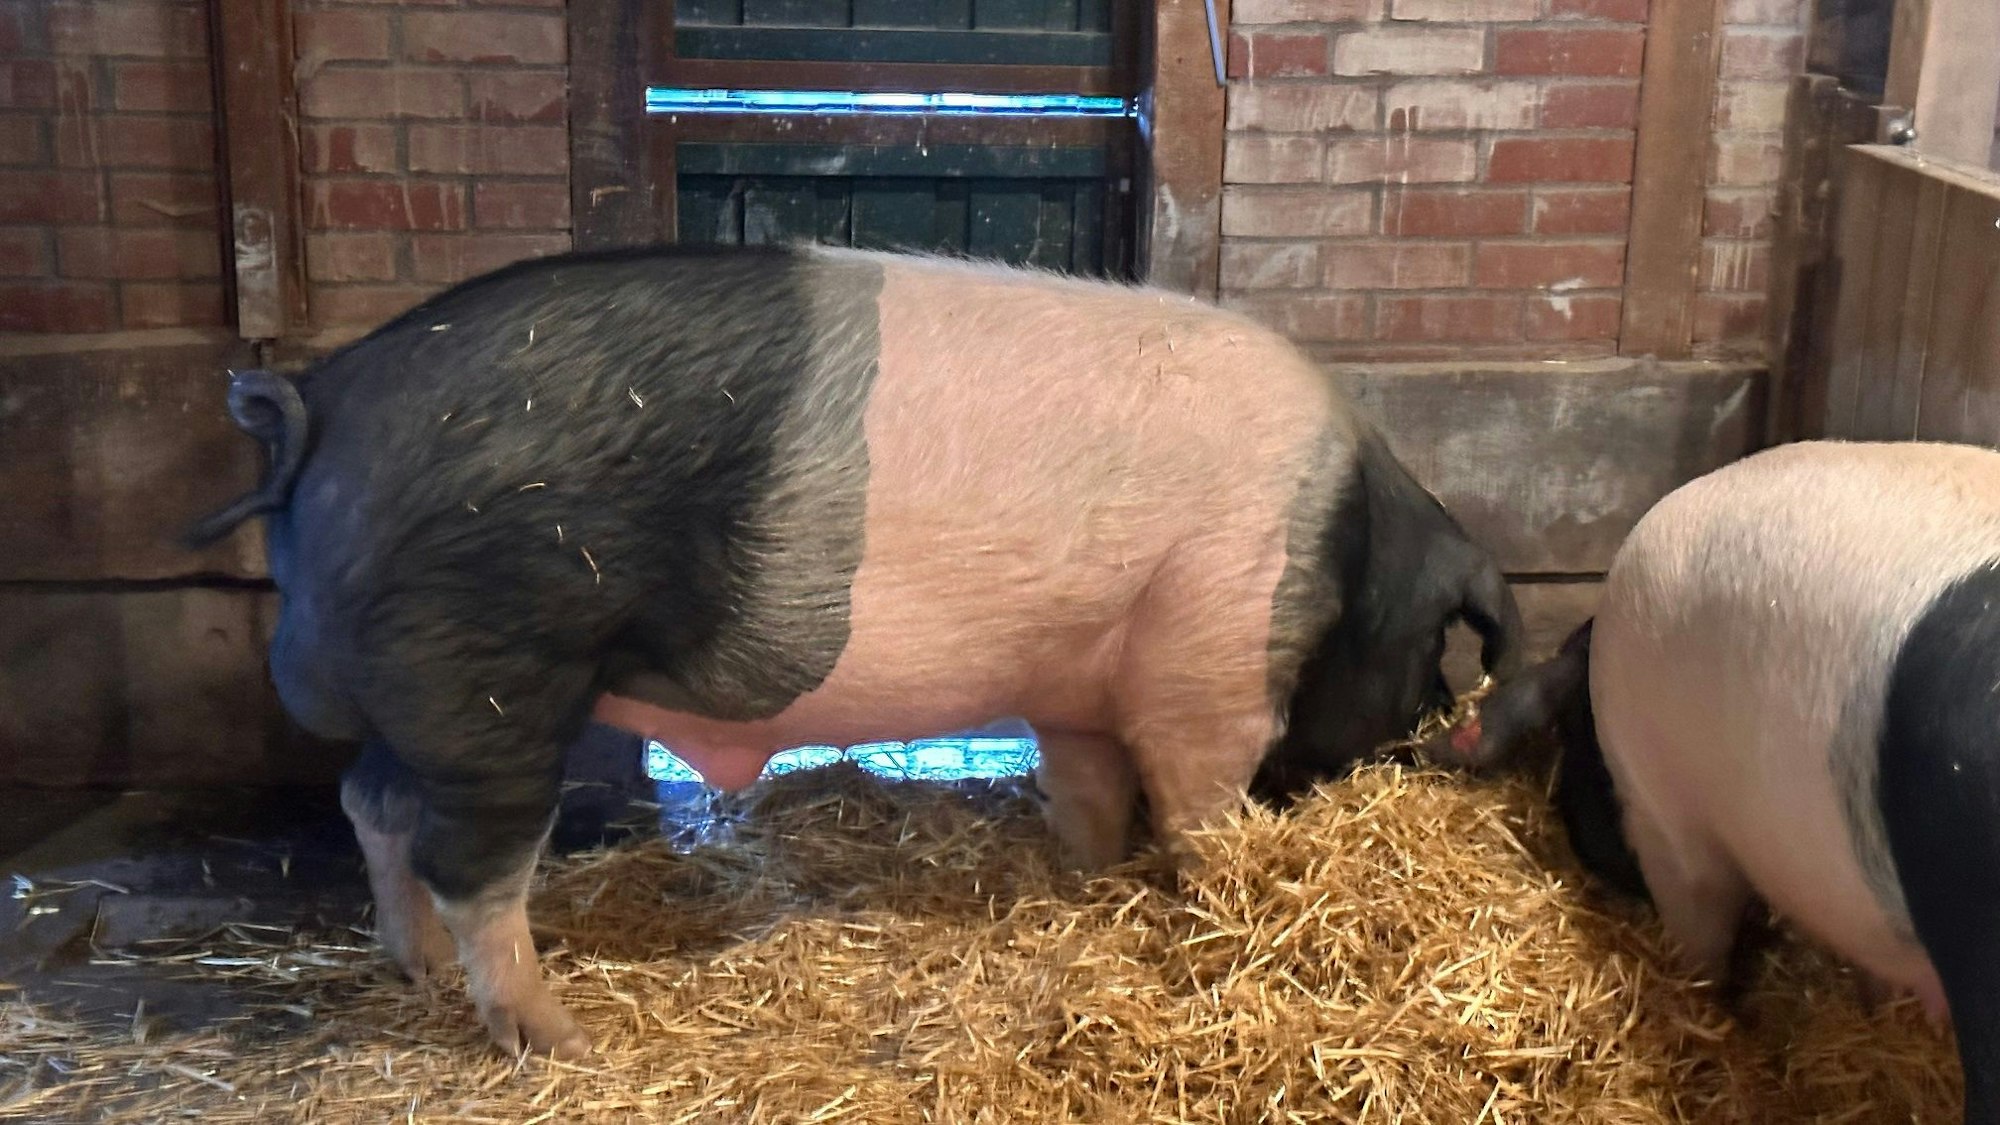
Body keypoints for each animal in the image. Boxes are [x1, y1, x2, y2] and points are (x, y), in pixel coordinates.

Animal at [186, 243, 1521, 1060]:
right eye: (1434, 662)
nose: (1400, 756)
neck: (1346, 542)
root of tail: (317, 406)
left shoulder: (1079, 684)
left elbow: (1089, 791)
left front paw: (1086, 886)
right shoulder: (1213, 650)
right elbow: (1197, 804)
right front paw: (1220, 894)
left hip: (419, 698)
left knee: (370, 804)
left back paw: (411, 973)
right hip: (492, 674)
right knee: (471, 864)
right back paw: (563, 1040)